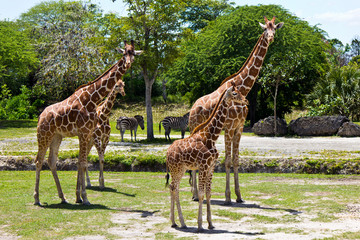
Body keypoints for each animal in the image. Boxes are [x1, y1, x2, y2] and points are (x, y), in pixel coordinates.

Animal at [33, 40, 141, 205]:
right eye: (124, 53)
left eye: (133, 53)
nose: (128, 63)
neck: (92, 99)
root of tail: (40, 116)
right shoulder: (84, 133)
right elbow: (83, 163)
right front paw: (85, 198)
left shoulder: (88, 133)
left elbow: (82, 162)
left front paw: (79, 196)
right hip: (43, 134)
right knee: (39, 161)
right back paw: (37, 199)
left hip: (56, 136)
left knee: (51, 161)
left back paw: (63, 197)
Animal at [165, 81, 248, 232]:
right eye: (235, 93)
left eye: (240, 91)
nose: (246, 101)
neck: (211, 137)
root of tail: (167, 152)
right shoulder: (203, 166)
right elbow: (201, 194)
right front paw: (200, 225)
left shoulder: (211, 167)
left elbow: (209, 194)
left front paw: (210, 223)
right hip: (176, 169)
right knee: (173, 188)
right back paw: (178, 222)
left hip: (181, 170)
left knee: (174, 188)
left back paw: (178, 223)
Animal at [188, 16, 284, 204]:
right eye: (265, 29)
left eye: (275, 28)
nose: (271, 38)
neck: (243, 88)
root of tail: (192, 108)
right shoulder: (228, 127)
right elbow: (227, 161)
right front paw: (227, 197)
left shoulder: (238, 128)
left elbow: (236, 160)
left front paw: (239, 196)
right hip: (193, 128)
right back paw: (195, 195)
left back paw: (196, 194)